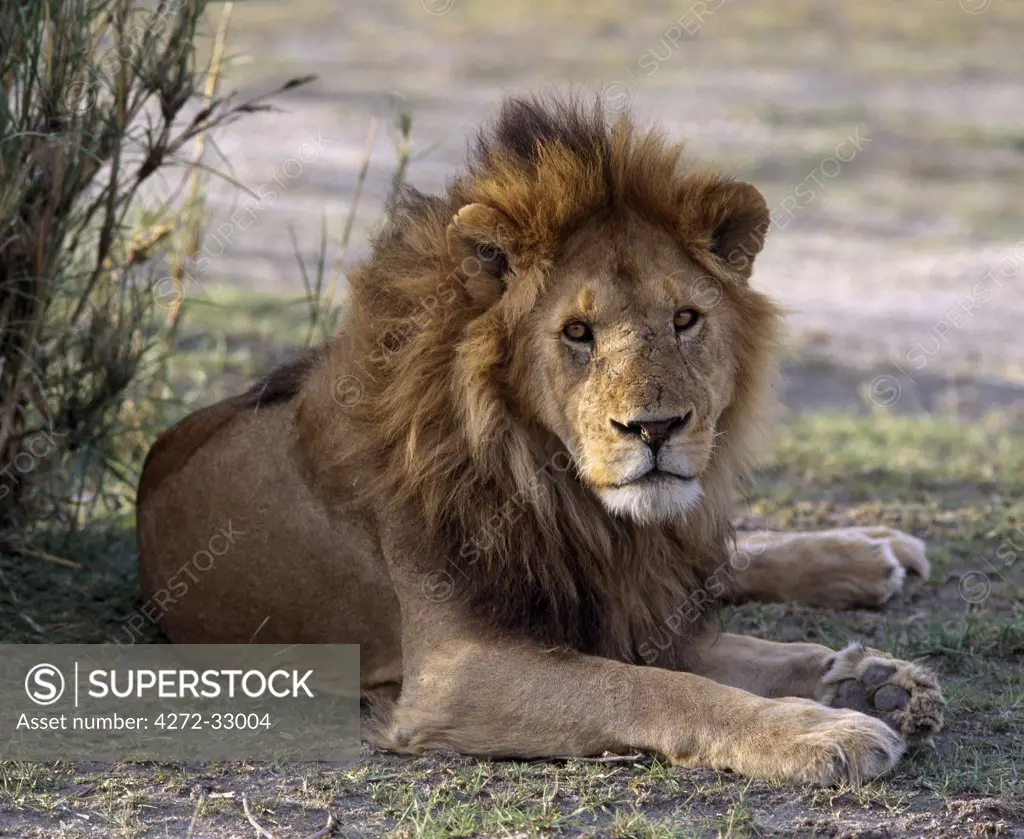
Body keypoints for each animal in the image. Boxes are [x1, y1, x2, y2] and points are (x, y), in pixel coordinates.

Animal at [136, 95, 942, 782]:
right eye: (577, 333)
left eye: (685, 319)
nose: (655, 428)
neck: (570, 502)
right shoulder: (454, 671)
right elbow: (654, 688)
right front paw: (828, 726)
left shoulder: (636, 601)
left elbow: (737, 655)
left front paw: (871, 684)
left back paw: (871, 556)